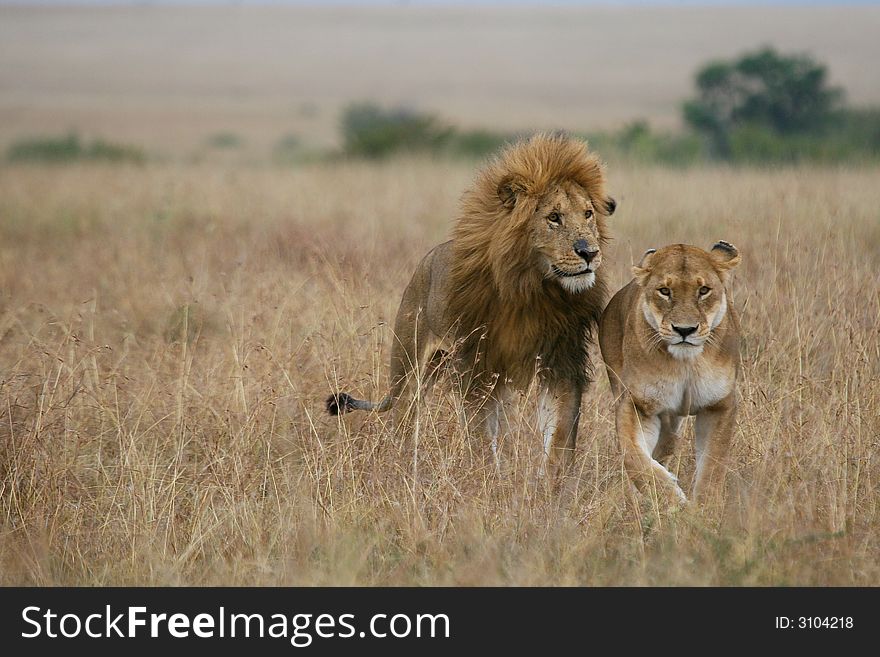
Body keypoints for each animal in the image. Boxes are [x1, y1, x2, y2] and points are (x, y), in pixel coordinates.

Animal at [326, 133, 616, 482]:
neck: (535, 290)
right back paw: (404, 469)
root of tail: (424, 263)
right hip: (408, 369)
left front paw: (552, 483)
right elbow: (480, 437)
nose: (589, 252)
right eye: (553, 217)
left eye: (588, 214)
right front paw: (490, 479)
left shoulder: (560, 361)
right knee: (405, 424)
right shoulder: (476, 366)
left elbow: (559, 433)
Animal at [600, 241, 740, 502]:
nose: (684, 330)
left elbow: (713, 466)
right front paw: (672, 500)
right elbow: (635, 459)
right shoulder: (636, 404)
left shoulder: (719, 405)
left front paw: (704, 507)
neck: (685, 363)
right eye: (664, 291)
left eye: (704, 290)